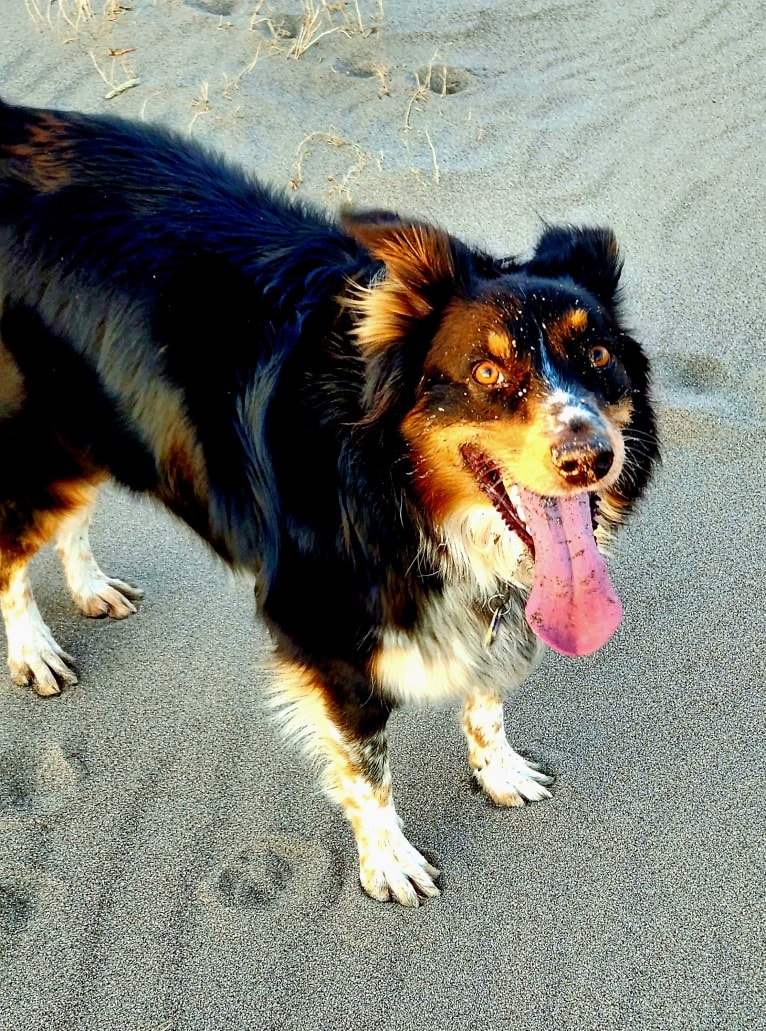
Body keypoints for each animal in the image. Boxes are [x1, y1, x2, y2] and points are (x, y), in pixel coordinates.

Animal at [0, 96, 659, 903]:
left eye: (598, 353)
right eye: (485, 371)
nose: (591, 457)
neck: (394, 493)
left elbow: (486, 696)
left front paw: (499, 771)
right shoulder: (326, 632)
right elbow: (367, 766)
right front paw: (389, 862)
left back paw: (91, 586)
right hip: (38, 438)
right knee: (10, 549)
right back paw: (33, 651)